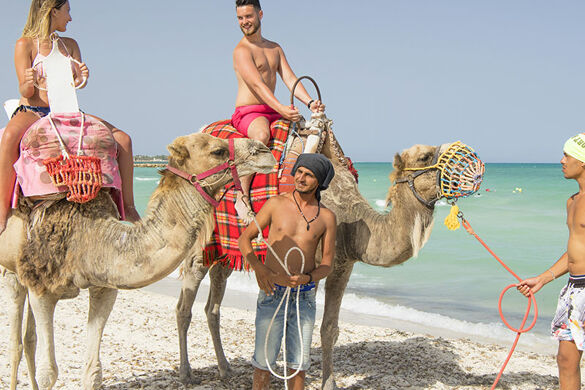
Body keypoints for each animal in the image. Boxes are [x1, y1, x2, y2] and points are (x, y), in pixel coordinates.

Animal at [0, 134, 274, 390]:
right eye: (217, 150)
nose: (265, 151)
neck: (86, 235)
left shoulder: (104, 286)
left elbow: (93, 372)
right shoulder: (42, 290)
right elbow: (48, 372)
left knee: (28, 339)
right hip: (13, 272)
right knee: (16, 343)